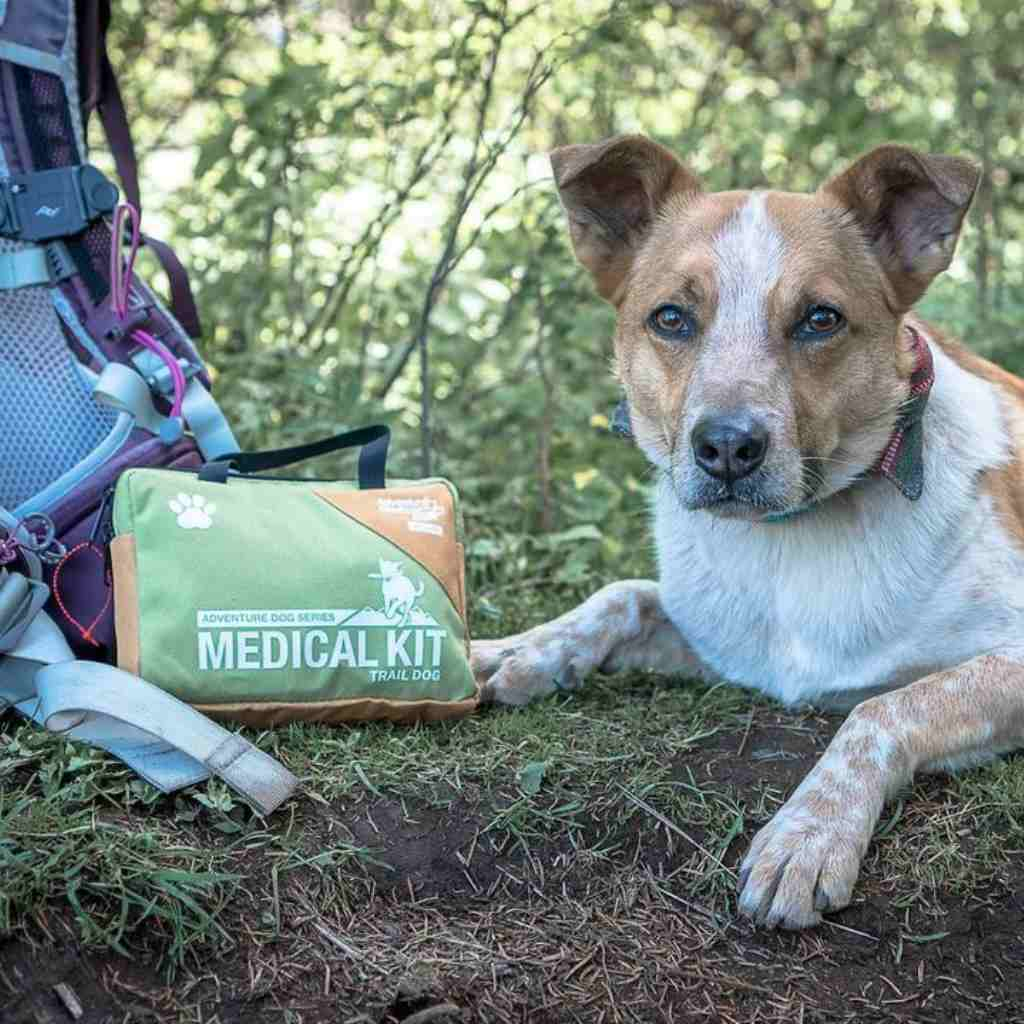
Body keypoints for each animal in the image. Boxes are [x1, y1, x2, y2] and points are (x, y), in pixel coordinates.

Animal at [473, 136, 1024, 929]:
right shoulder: (727, 642)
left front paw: (809, 834)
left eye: (820, 319)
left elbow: (882, 707)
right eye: (671, 318)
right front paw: (522, 651)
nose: (728, 447)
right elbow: (621, 594)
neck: (789, 539)